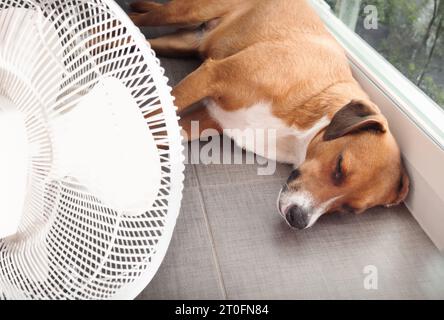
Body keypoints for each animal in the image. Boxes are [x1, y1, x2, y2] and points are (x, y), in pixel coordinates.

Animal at [130, 0, 412, 230]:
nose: (298, 219)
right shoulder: (211, 76)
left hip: (181, 42)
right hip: (183, 12)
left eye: (348, 209)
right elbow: (156, 114)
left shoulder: (210, 117)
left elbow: (159, 128)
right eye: (339, 167)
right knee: (139, 19)